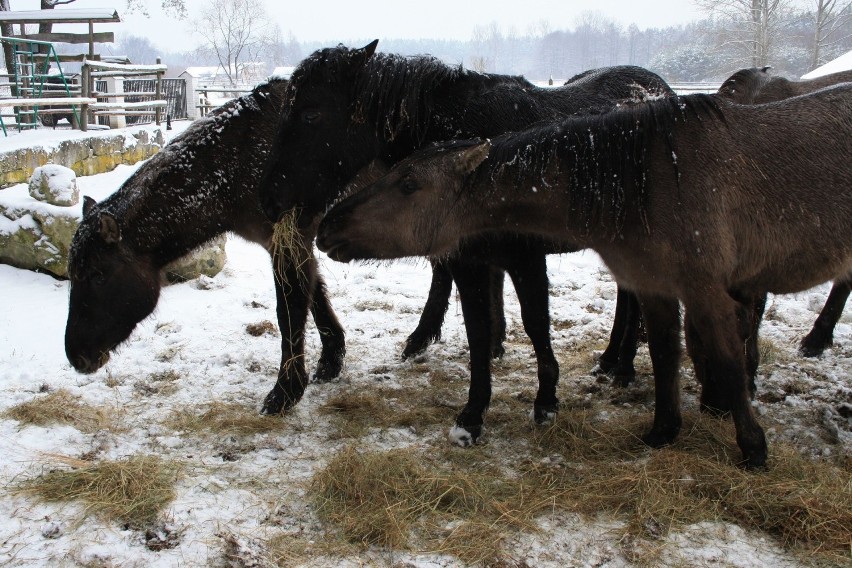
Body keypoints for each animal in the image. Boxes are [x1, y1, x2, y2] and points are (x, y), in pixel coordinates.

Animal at [256, 41, 676, 444]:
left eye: (311, 115)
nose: (269, 199)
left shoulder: (526, 259)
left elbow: (536, 326)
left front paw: (545, 403)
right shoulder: (468, 261)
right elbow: (478, 330)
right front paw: (472, 418)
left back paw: (623, 367)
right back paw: (610, 360)